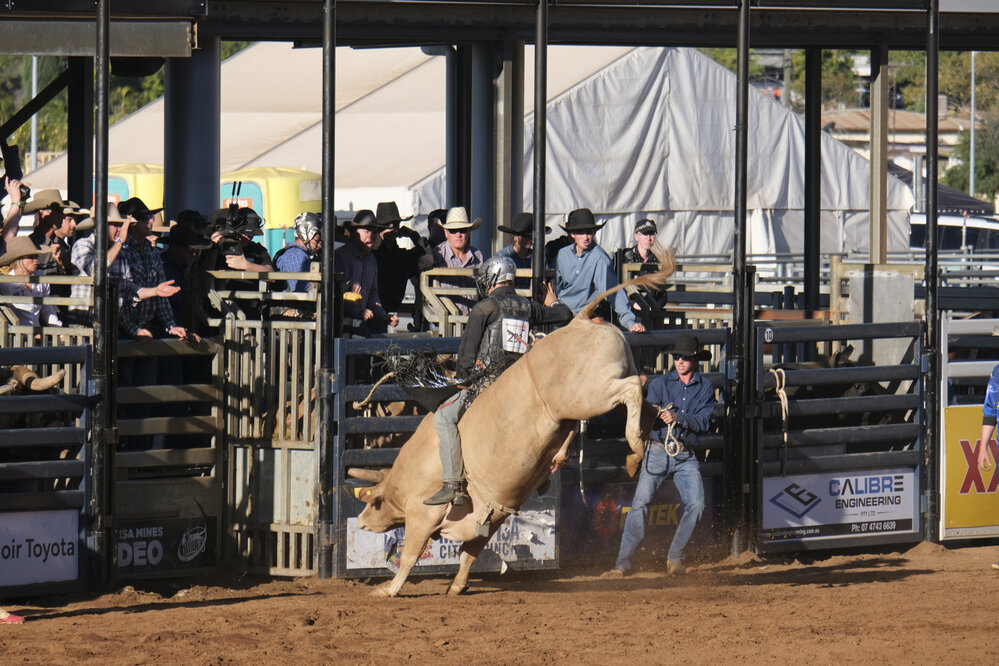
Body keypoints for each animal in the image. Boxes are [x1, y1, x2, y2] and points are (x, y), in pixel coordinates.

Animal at [348, 248, 675, 597]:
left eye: (374, 503)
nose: (362, 520)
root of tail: (582, 319)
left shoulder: (424, 514)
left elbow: (410, 555)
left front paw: (388, 589)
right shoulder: (489, 519)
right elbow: (469, 553)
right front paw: (457, 587)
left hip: (589, 396)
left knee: (632, 388)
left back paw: (635, 444)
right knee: (643, 395)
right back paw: (636, 452)